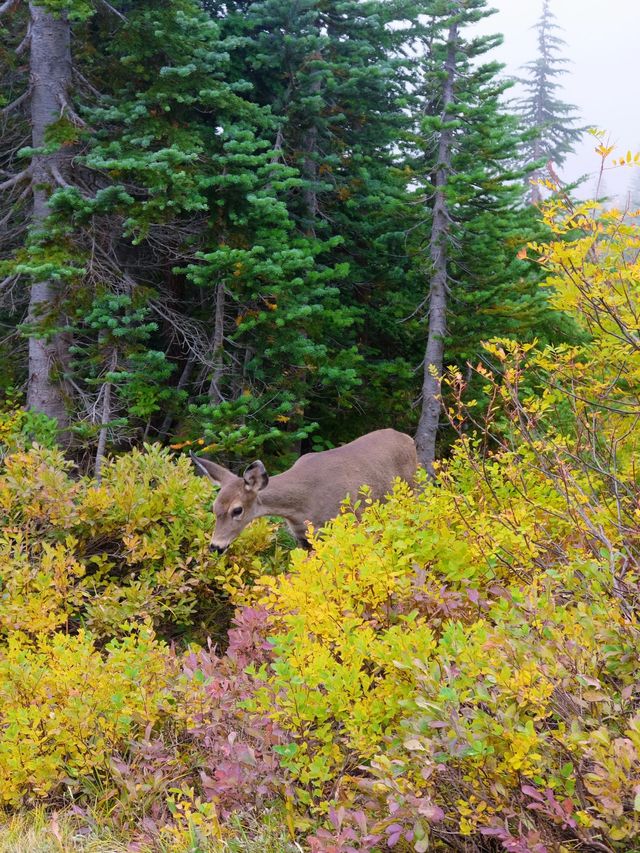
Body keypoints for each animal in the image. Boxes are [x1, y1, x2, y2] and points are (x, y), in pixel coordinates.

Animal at [192, 426, 418, 552]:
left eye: (237, 510)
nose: (215, 547)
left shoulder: (349, 525)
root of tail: (408, 438)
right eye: (214, 508)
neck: (301, 507)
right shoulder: (303, 538)